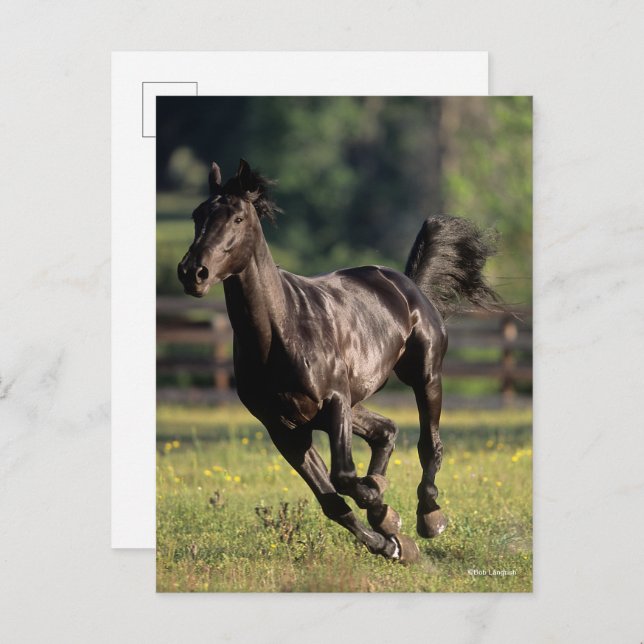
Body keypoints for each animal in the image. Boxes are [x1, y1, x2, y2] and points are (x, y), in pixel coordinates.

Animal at [178, 159, 500, 563]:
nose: (193, 272)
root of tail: (407, 285)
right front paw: (391, 543)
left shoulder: (333, 403)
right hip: (351, 404)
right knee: (385, 431)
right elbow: (332, 500)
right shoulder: (284, 428)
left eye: (237, 217)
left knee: (430, 445)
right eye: (197, 214)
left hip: (424, 376)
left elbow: (344, 475)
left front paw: (385, 512)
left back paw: (429, 517)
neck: (282, 330)